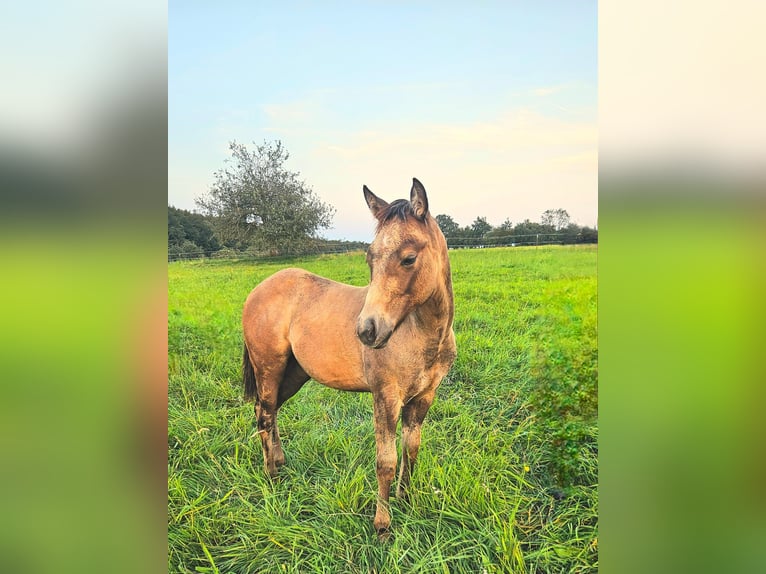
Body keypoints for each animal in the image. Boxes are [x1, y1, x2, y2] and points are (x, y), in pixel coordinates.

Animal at [243, 178, 456, 536]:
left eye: (409, 258)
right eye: (369, 258)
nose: (367, 331)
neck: (423, 335)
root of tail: (258, 290)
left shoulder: (424, 396)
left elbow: (411, 450)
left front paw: (406, 501)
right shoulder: (386, 396)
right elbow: (386, 461)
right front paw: (383, 526)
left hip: (294, 374)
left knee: (269, 411)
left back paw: (281, 463)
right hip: (268, 367)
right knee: (265, 414)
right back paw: (271, 476)